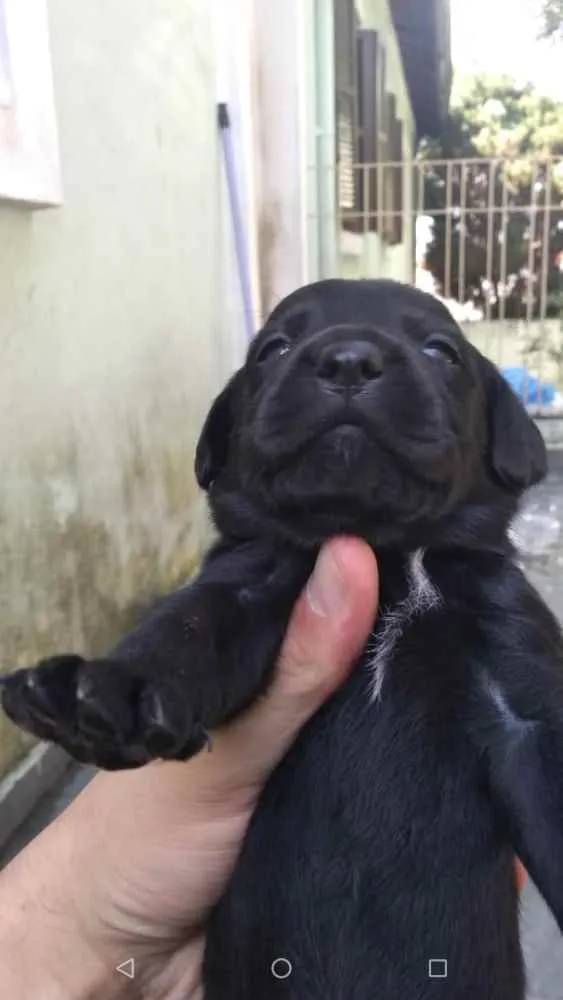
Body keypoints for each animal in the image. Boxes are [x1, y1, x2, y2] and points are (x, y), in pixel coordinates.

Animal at [1, 280, 563, 1000]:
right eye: (273, 348)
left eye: (442, 351)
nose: (349, 359)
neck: (385, 554)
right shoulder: (250, 581)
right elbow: (188, 623)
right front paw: (110, 688)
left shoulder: (524, 695)